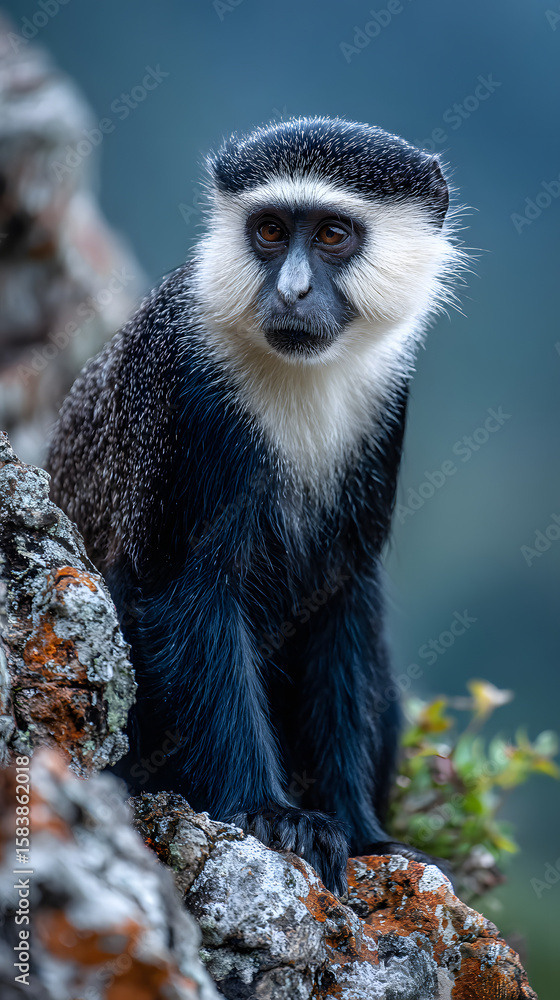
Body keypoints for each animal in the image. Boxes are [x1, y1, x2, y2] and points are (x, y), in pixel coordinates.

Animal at [46, 117, 464, 895]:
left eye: (331, 234)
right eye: (270, 230)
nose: (294, 290)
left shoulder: (386, 405)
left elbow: (341, 605)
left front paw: (364, 833)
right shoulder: (187, 393)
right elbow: (192, 592)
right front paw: (273, 815)